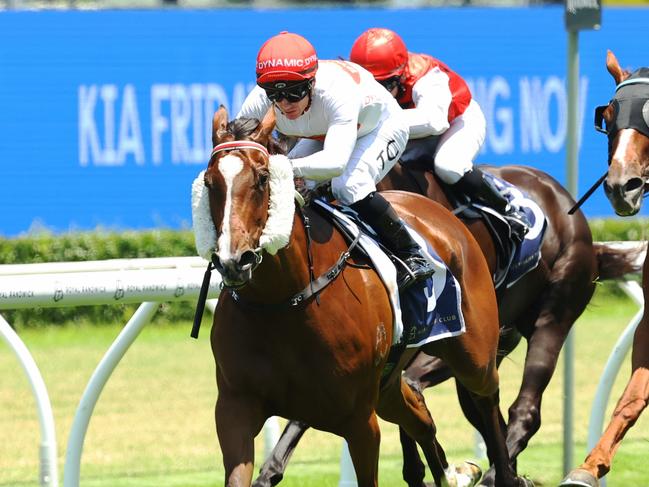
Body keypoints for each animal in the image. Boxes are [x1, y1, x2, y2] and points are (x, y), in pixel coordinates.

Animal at [200, 107, 536, 487]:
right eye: (210, 182)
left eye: (261, 179)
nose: (234, 261)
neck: (283, 301)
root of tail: (447, 218)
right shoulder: (235, 409)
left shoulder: (359, 421)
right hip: (388, 384)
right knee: (419, 414)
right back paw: (453, 474)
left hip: (473, 354)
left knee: (487, 398)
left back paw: (505, 473)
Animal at [254, 133, 636, 487]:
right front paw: (268, 471)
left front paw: (444, 471)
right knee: (484, 408)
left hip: (549, 314)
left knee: (524, 409)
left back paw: (495, 473)